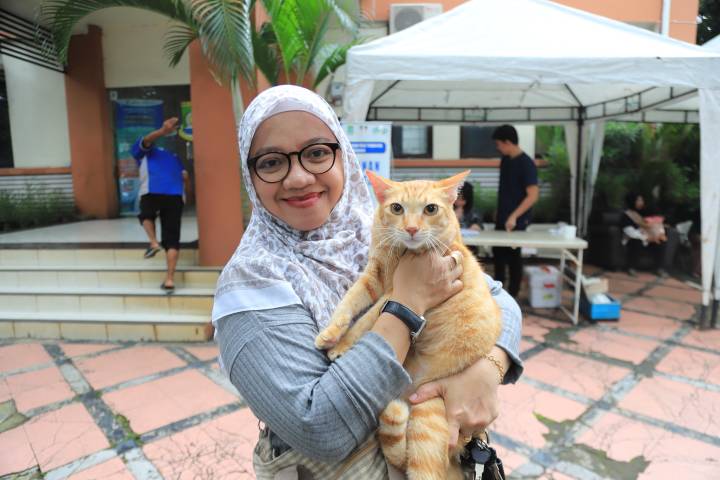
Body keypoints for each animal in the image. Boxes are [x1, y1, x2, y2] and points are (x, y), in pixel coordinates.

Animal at [315, 170, 502, 480]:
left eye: (431, 209)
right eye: (397, 208)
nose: (412, 229)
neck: (401, 254)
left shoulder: (391, 293)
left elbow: (366, 319)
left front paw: (342, 345)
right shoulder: (374, 276)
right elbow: (349, 301)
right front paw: (330, 334)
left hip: (428, 415)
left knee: (420, 468)